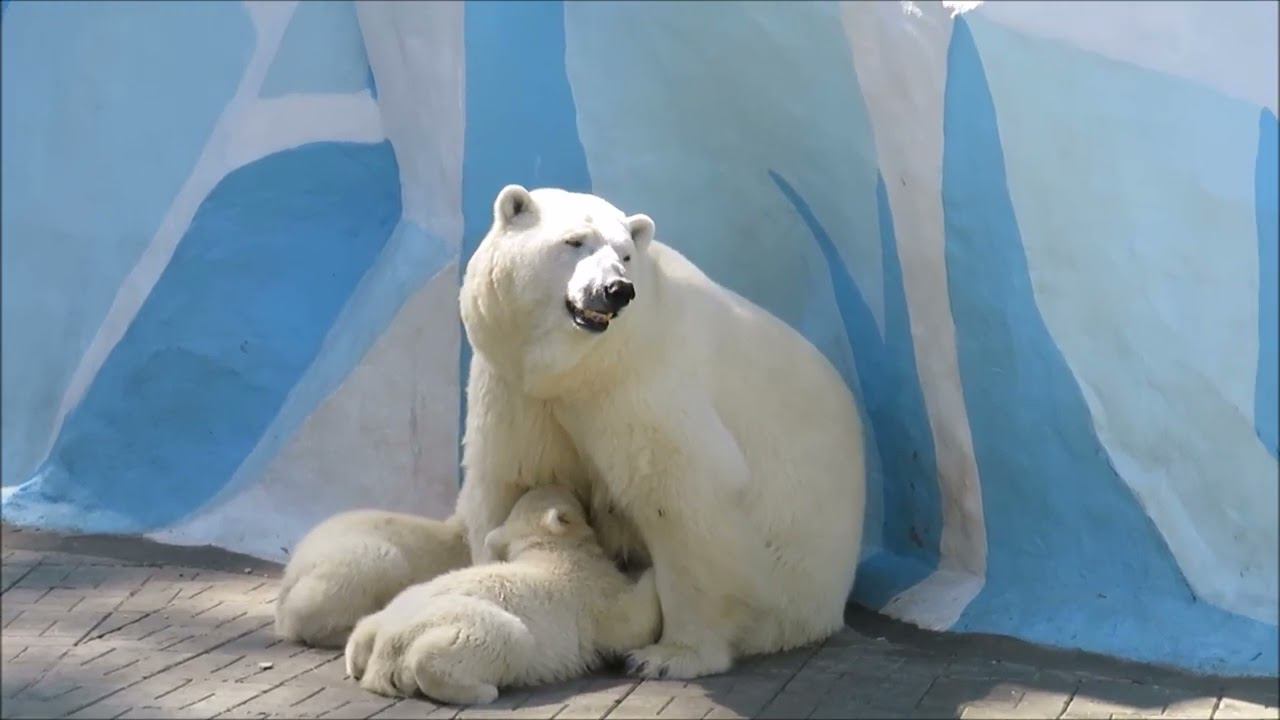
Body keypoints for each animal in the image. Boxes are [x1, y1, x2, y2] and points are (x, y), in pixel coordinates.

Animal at [343, 485, 661, 705]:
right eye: (572, 494)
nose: (581, 491)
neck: (551, 550)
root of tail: (383, 656)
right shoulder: (592, 592)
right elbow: (629, 624)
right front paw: (651, 568)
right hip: (466, 624)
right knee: (500, 640)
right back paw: (482, 691)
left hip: (392, 609)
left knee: (363, 628)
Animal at [453, 184, 867, 680]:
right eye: (574, 241)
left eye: (625, 254)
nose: (615, 290)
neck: (580, 372)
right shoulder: (517, 387)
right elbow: (513, 477)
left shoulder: (642, 385)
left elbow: (684, 498)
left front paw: (671, 655)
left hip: (795, 567)